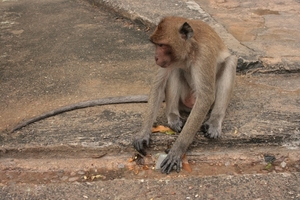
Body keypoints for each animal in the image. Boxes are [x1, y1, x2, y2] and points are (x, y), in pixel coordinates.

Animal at [133, 16, 237, 173]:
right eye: (156, 45)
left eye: (162, 45)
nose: (156, 57)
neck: (188, 51)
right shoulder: (169, 60)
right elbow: (157, 86)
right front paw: (143, 134)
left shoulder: (203, 55)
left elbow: (205, 97)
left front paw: (177, 150)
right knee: (175, 70)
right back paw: (173, 116)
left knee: (230, 62)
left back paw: (214, 120)